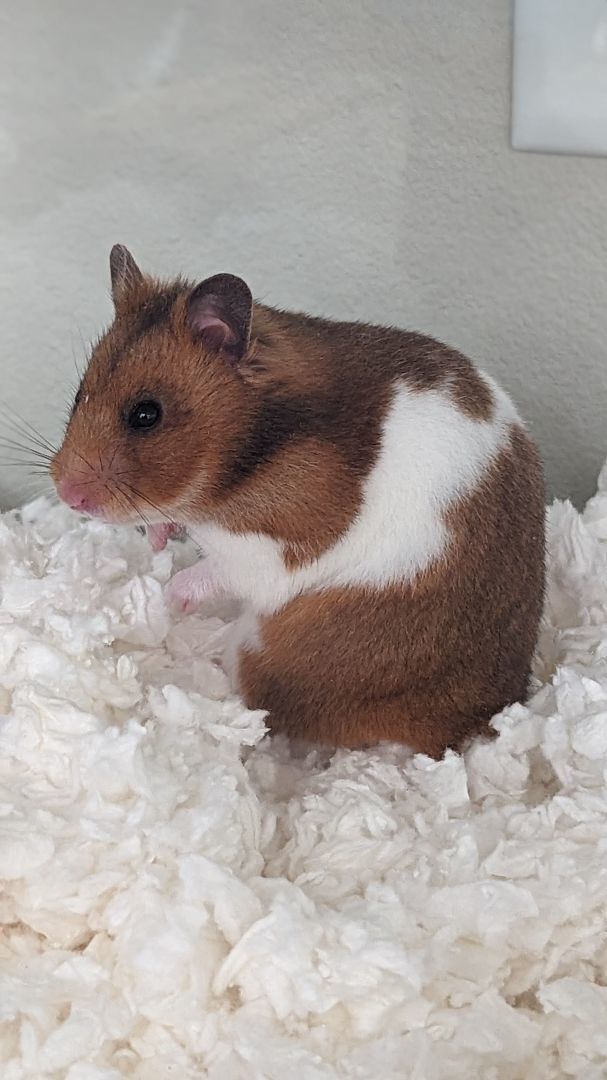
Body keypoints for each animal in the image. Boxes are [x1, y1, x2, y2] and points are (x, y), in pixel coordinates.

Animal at [51, 244, 545, 758]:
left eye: (146, 415)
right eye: (79, 394)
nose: (67, 495)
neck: (251, 454)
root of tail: (477, 724)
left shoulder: (274, 547)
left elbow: (219, 570)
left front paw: (170, 597)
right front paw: (158, 542)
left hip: (259, 651)